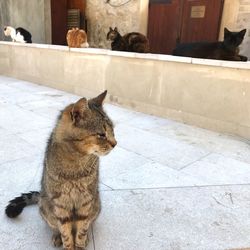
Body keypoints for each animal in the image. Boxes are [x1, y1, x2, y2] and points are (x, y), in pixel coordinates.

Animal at [4, 91, 116, 250]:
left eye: (113, 131)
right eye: (101, 134)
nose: (115, 143)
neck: (75, 163)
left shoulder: (85, 204)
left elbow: (81, 231)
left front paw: (81, 243)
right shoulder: (61, 206)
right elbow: (66, 234)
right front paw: (67, 243)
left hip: (96, 205)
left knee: (89, 223)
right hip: (46, 208)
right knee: (54, 226)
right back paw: (56, 237)